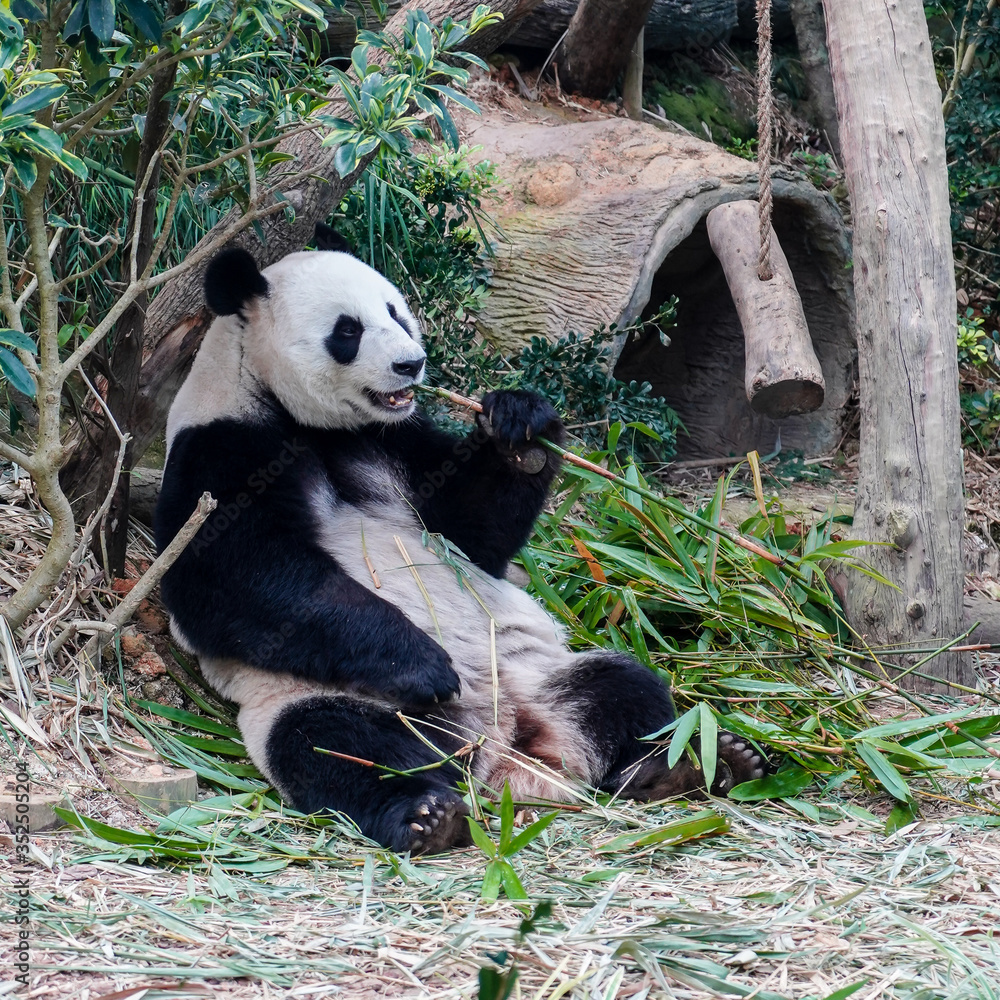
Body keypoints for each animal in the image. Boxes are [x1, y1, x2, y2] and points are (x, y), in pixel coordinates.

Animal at [154, 229, 767, 854]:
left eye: (395, 312)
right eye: (347, 330)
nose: (411, 364)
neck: (309, 422)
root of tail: (504, 757)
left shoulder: (395, 439)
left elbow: (470, 535)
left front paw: (520, 425)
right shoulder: (222, 450)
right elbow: (233, 581)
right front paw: (422, 665)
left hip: (539, 675)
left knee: (626, 687)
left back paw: (687, 765)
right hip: (332, 702)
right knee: (337, 743)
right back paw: (427, 813)